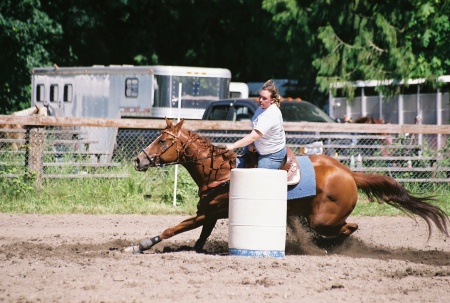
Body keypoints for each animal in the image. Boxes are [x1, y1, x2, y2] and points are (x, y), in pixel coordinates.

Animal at [124, 119, 450, 254]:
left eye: (162, 140)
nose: (139, 160)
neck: (222, 171)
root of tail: (349, 173)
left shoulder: (209, 213)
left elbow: (172, 228)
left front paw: (140, 245)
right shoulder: (211, 215)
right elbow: (198, 239)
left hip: (324, 218)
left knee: (349, 227)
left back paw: (323, 247)